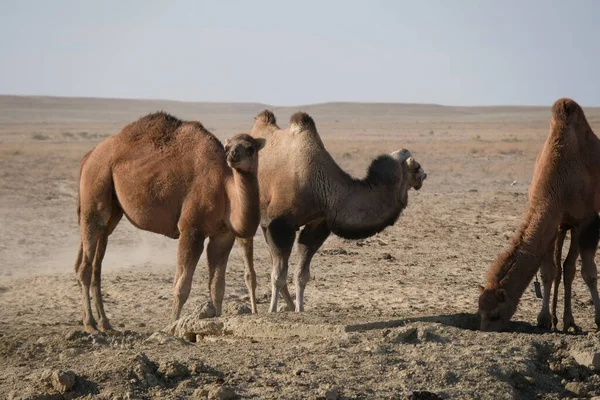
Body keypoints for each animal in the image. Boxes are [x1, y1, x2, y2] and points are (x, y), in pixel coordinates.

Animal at [73, 111, 264, 332]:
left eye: (250, 148)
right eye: (228, 147)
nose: (233, 156)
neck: (224, 187)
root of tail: (89, 156)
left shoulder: (223, 235)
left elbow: (217, 286)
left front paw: (216, 320)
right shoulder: (191, 229)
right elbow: (181, 286)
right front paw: (172, 326)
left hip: (112, 208)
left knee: (97, 260)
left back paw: (105, 323)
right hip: (95, 183)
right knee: (86, 263)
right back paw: (90, 324)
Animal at [234, 109, 426, 312]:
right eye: (417, 167)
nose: (425, 175)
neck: (323, 187)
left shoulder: (318, 223)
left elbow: (301, 274)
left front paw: (300, 309)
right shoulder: (280, 224)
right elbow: (278, 275)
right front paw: (272, 311)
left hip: (266, 224)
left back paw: (289, 305)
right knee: (250, 268)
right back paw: (255, 309)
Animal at [478, 98, 600, 332]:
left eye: (496, 314)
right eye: (480, 311)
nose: (484, 331)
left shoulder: (585, 220)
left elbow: (587, 273)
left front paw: (597, 319)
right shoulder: (553, 224)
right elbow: (548, 272)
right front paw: (544, 319)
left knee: (570, 268)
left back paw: (567, 320)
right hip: (563, 226)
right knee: (562, 269)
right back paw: (560, 319)